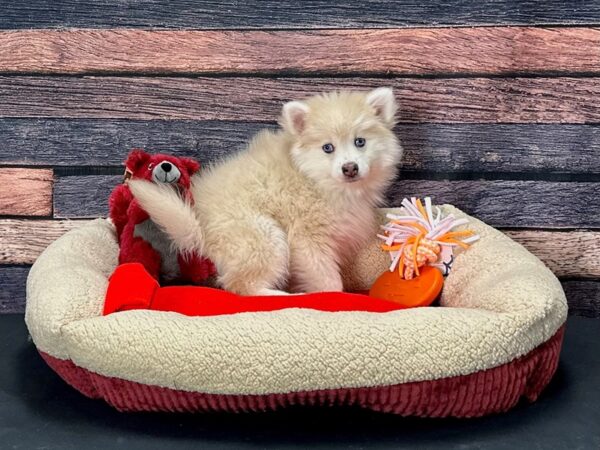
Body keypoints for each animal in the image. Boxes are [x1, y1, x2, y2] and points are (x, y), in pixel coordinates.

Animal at [131, 88, 404, 296]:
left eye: (360, 142)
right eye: (328, 148)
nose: (349, 168)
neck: (315, 179)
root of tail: (198, 226)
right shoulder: (307, 240)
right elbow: (327, 279)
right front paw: (333, 295)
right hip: (264, 236)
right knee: (241, 286)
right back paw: (282, 295)